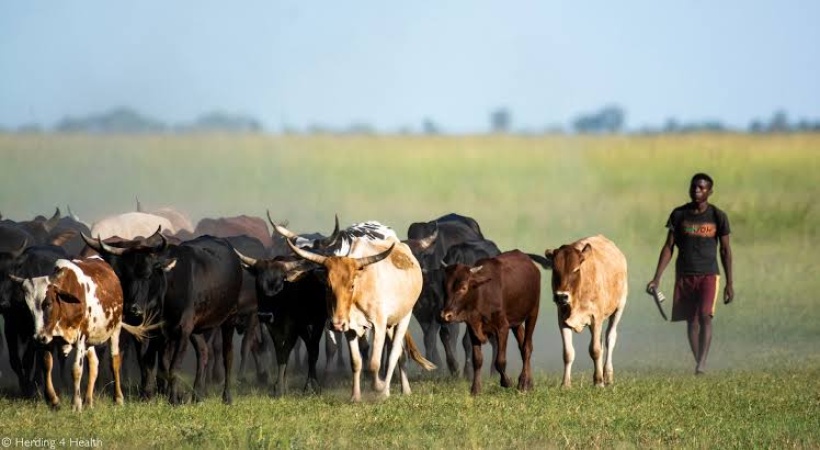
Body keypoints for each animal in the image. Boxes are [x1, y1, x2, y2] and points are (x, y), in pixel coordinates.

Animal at [10, 257, 155, 411]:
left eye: (48, 303)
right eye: (28, 307)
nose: (38, 338)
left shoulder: (80, 337)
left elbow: (76, 370)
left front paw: (75, 404)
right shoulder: (49, 336)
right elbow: (47, 364)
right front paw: (54, 400)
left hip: (115, 330)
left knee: (114, 361)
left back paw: (118, 398)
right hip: (89, 341)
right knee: (93, 364)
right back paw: (88, 401)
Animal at [81, 231, 243, 405]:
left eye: (148, 275)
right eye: (125, 275)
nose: (133, 309)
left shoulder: (182, 331)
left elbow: (173, 367)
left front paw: (173, 399)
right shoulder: (153, 333)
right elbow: (150, 364)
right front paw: (148, 395)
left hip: (229, 319)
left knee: (228, 356)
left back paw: (227, 397)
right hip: (196, 330)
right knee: (203, 352)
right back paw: (197, 396)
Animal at [280, 223, 435, 402]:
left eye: (352, 285)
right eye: (328, 286)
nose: (336, 324)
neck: (361, 291)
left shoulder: (379, 325)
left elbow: (374, 363)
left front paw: (379, 386)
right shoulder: (350, 328)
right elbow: (356, 362)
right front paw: (355, 396)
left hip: (404, 317)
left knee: (394, 352)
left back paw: (386, 391)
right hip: (391, 323)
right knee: (401, 354)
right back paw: (405, 389)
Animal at [440, 250, 540, 395]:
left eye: (463, 287)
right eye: (444, 287)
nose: (446, 315)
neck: (481, 294)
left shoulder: (502, 327)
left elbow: (500, 361)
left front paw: (507, 382)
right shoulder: (473, 329)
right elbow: (477, 359)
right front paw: (475, 389)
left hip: (533, 312)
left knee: (527, 347)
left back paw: (523, 382)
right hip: (516, 322)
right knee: (523, 345)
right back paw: (529, 382)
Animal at [529, 235, 628, 388]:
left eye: (575, 270)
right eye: (555, 270)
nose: (561, 296)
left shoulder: (596, 318)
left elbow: (595, 350)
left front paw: (599, 382)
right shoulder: (562, 319)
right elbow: (568, 353)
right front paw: (565, 384)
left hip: (619, 307)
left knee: (610, 338)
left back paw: (607, 375)